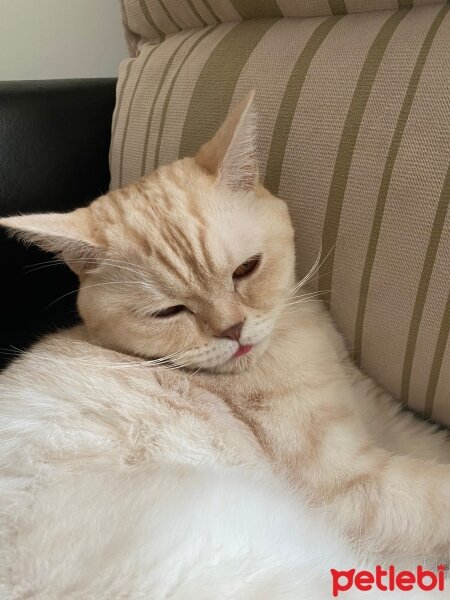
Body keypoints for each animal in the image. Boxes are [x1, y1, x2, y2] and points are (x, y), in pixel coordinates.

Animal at [0, 91, 450, 596]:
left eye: (246, 269)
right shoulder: (355, 487)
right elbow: (438, 493)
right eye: (169, 313)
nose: (232, 330)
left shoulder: (381, 414)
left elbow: (432, 441)